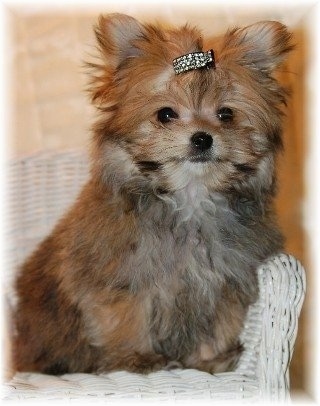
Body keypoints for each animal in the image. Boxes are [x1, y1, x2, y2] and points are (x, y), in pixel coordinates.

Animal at [12, 13, 292, 374]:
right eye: (166, 114)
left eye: (226, 114)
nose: (202, 138)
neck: (190, 197)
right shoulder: (119, 276)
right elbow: (127, 315)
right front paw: (138, 358)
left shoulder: (226, 282)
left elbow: (220, 322)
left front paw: (211, 358)